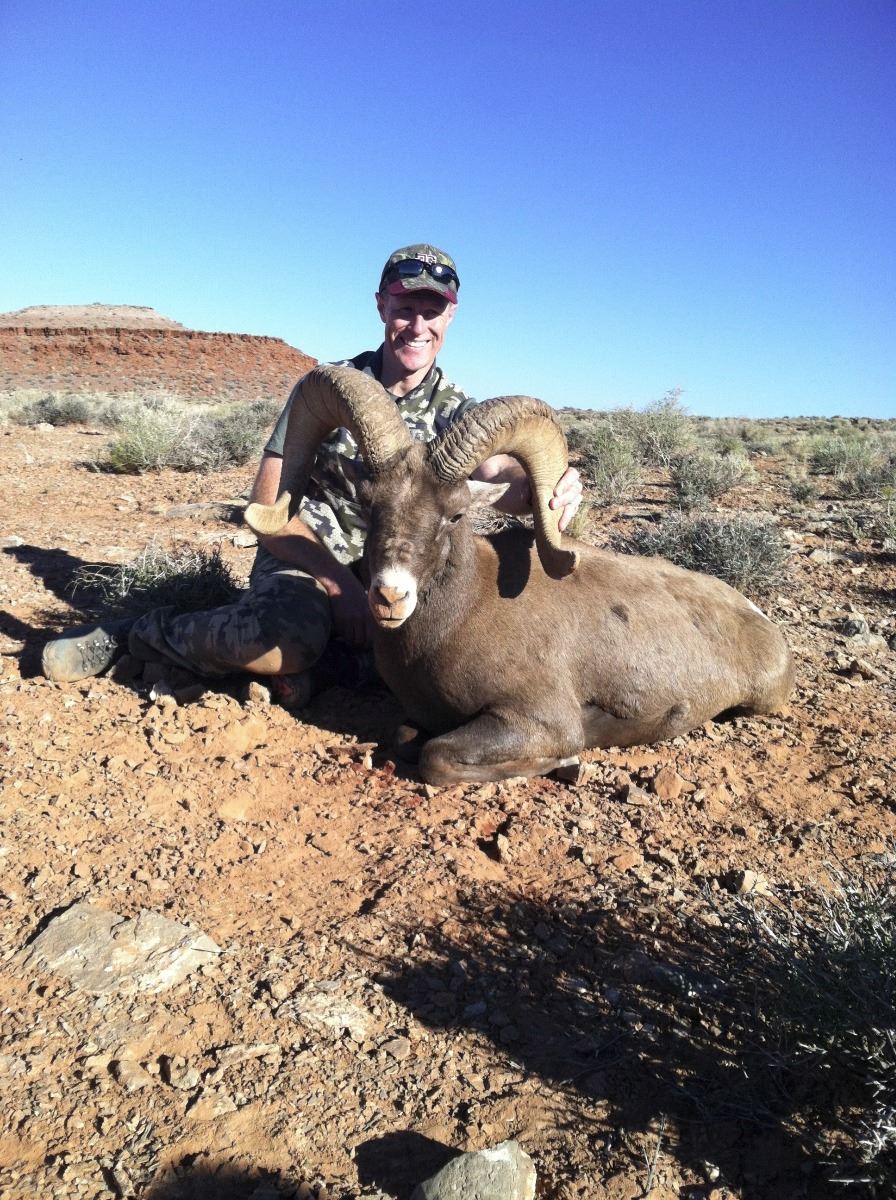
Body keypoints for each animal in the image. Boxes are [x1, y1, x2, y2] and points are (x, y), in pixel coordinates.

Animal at [245, 365, 794, 785]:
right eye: (366, 503)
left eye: (455, 514)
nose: (390, 597)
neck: (460, 616)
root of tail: (762, 622)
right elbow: (405, 737)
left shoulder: (534, 719)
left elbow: (436, 756)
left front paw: (567, 764)